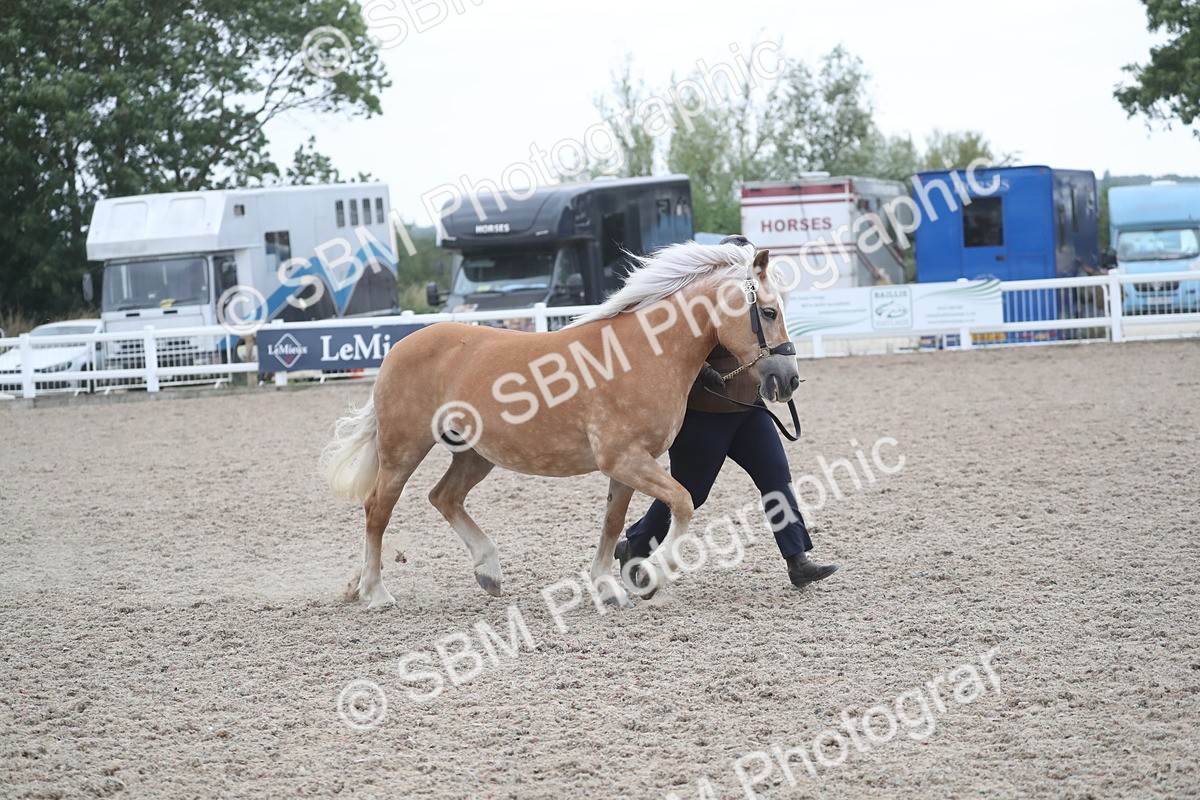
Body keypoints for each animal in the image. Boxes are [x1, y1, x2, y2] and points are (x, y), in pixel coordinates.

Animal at [320, 240, 800, 610]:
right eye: (769, 312)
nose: (789, 380)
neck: (644, 354)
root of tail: (398, 348)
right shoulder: (624, 459)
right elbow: (682, 503)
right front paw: (653, 575)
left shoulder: (628, 467)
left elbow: (613, 523)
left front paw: (607, 587)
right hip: (404, 449)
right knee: (378, 509)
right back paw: (376, 593)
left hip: (475, 455)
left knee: (444, 497)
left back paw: (489, 572)